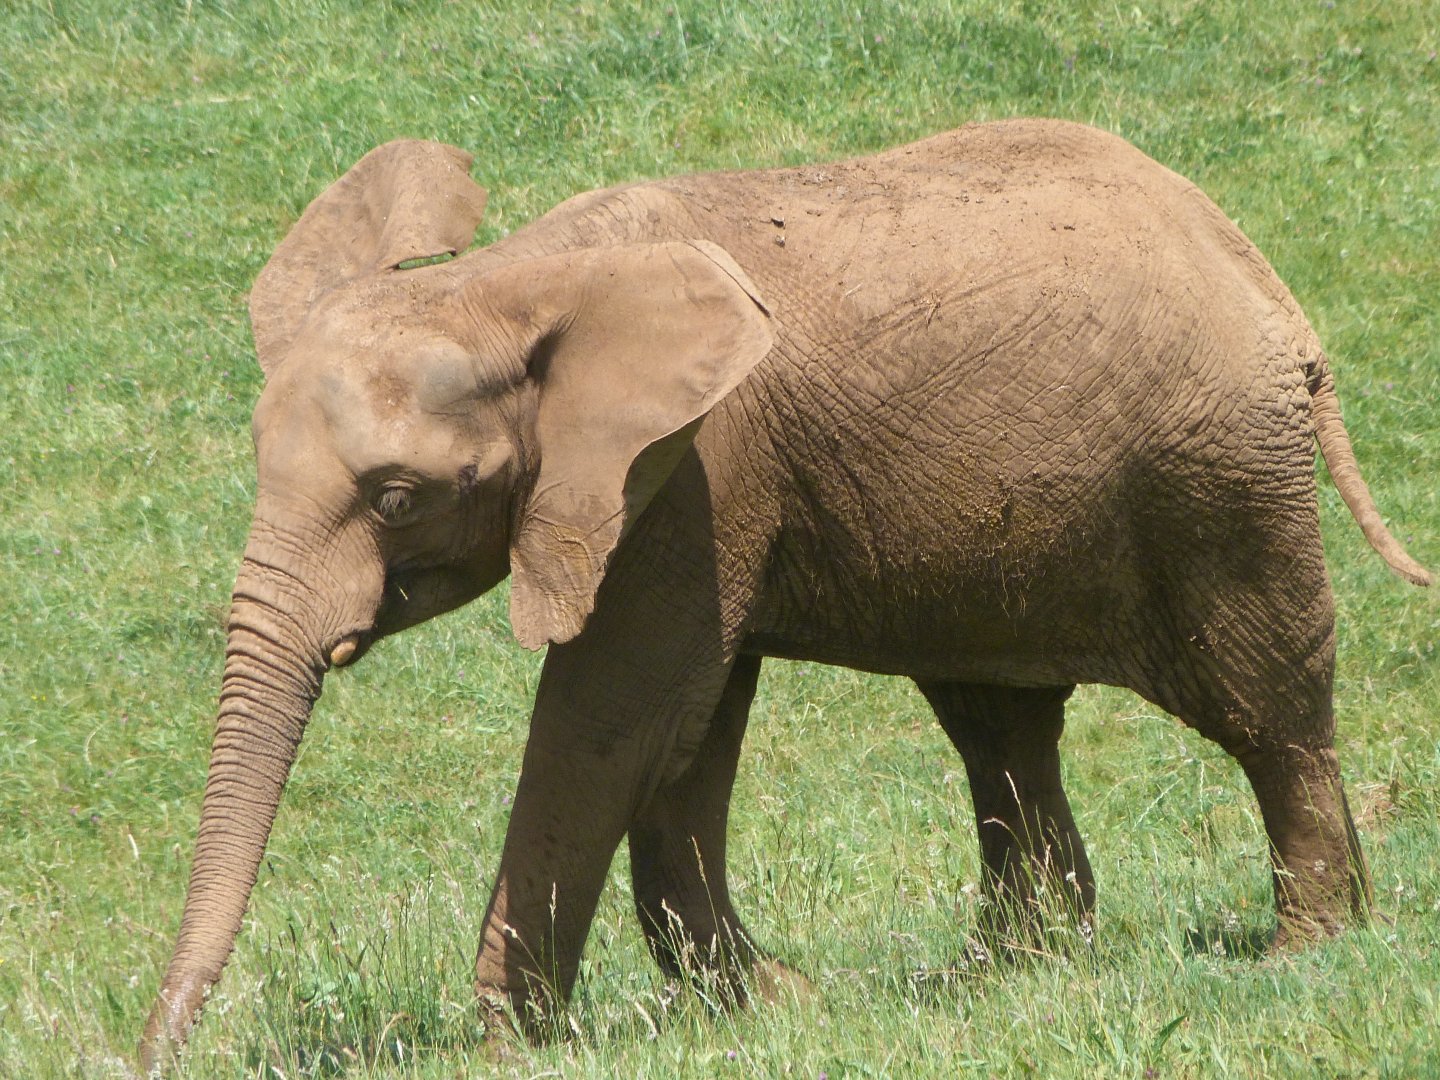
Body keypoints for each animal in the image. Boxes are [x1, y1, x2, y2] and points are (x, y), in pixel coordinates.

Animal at [140, 118, 1430, 1071]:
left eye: (398, 498)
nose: (155, 1054)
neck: (505, 284)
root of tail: (1258, 273)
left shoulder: (696, 475)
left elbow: (614, 719)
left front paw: (512, 1046)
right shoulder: (689, 492)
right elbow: (685, 737)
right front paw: (774, 1008)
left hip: (1216, 481)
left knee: (1265, 707)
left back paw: (1302, 951)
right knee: (998, 725)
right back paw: (1010, 972)